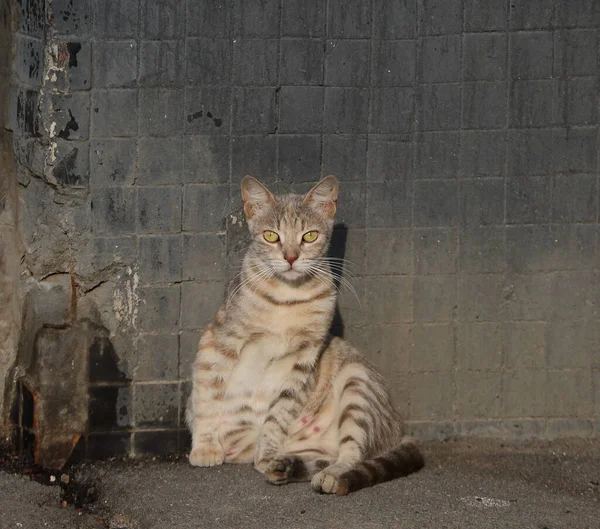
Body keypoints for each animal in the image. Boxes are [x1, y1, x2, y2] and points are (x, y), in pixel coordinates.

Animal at [185, 175, 424, 492]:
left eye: (309, 236)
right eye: (271, 236)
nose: (290, 257)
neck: (286, 299)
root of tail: (399, 428)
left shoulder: (303, 357)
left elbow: (279, 412)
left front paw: (267, 452)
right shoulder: (220, 339)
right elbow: (208, 396)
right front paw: (205, 447)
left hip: (357, 385)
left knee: (352, 454)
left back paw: (326, 475)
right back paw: (286, 466)